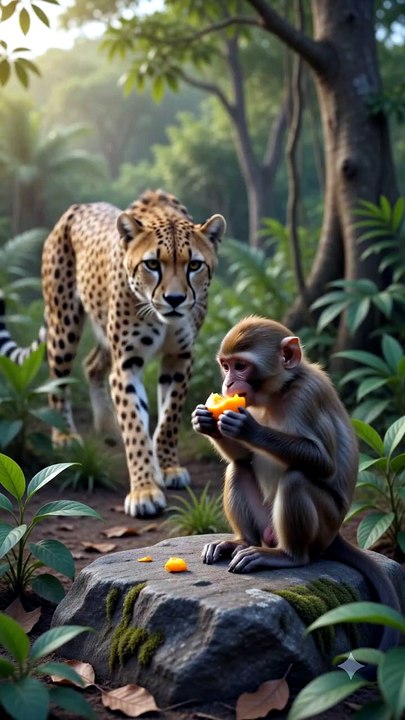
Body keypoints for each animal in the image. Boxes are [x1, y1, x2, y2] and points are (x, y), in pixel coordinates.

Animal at [0, 190, 226, 517]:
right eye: (152, 264)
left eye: (194, 265)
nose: (174, 299)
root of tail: (77, 206)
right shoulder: (127, 363)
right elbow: (134, 426)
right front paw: (144, 490)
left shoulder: (180, 357)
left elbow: (168, 418)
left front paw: (167, 467)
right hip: (63, 325)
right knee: (59, 381)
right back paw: (65, 436)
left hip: (103, 334)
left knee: (92, 364)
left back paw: (107, 425)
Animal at [191, 316, 401, 655]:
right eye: (225, 366)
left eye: (241, 367)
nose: (227, 385)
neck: (280, 390)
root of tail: (335, 535)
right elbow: (243, 458)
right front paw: (206, 420)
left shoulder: (307, 396)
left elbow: (323, 463)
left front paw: (247, 428)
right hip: (265, 524)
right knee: (238, 469)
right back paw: (239, 542)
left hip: (322, 526)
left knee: (296, 481)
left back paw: (287, 556)